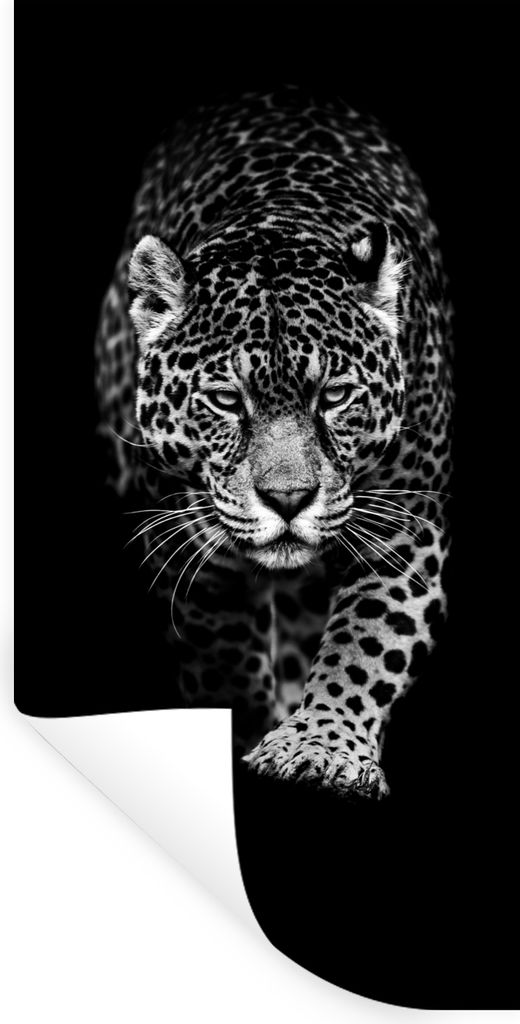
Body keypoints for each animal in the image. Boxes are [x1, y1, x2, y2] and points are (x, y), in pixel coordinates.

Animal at [95, 85, 453, 798]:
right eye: (227, 400)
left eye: (334, 397)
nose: (288, 500)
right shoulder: (192, 552)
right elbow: (223, 661)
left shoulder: (403, 534)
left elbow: (365, 643)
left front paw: (321, 747)